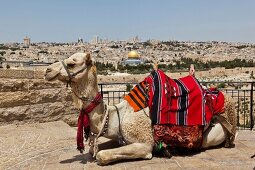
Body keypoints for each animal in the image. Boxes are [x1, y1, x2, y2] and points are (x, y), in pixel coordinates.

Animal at [44, 52, 237, 165]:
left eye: (72, 63)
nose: (47, 71)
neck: (119, 115)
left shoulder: (144, 142)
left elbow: (102, 155)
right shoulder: (120, 137)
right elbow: (95, 148)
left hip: (216, 133)